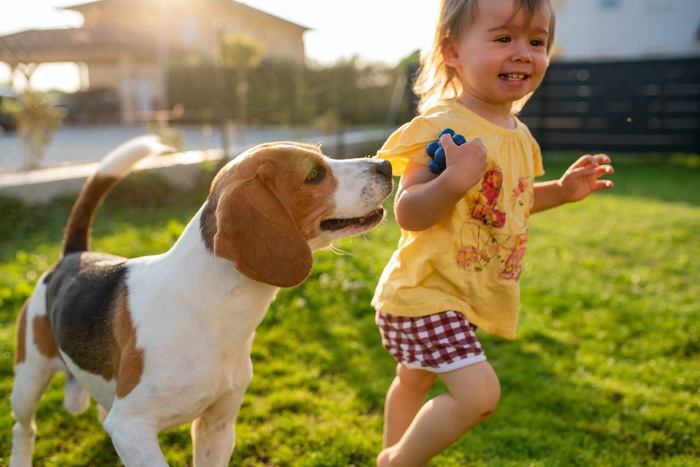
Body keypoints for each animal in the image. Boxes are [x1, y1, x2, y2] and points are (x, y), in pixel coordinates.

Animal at [9, 137, 394, 466]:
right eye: (314, 175)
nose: (386, 165)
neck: (212, 312)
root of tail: (75, 256)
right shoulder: (132, 428)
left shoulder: (217, 426)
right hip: (29, 378)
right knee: (24, 428)